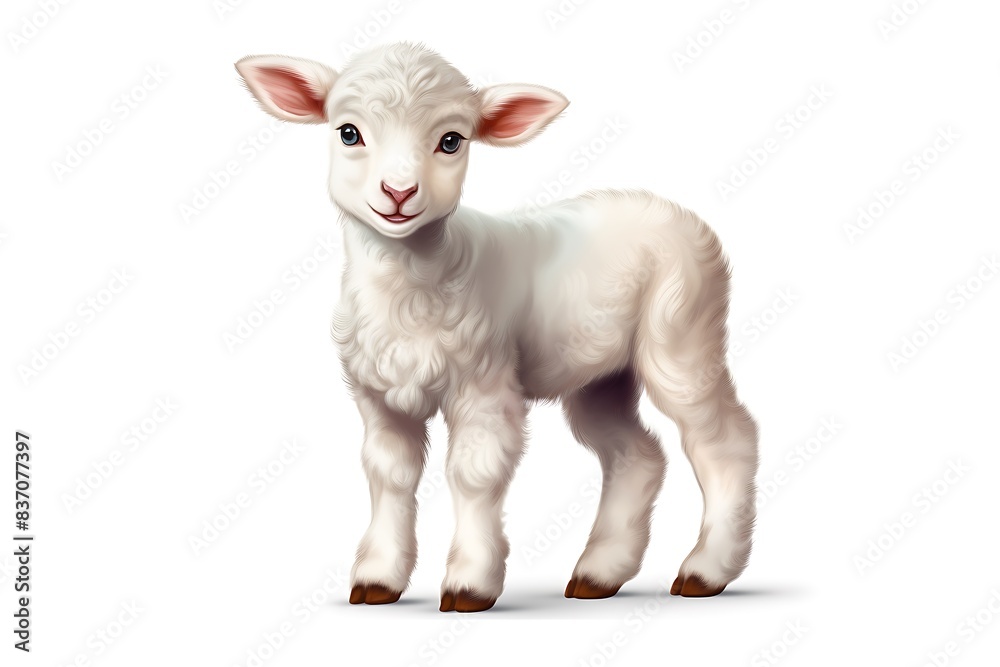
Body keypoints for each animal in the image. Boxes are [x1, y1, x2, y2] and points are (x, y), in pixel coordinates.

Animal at [236, 42, 759, 613]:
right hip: (600, 373)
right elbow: (389, 475)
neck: (415, 283)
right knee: (634, 455)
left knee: (723, 440)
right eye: (348, 132)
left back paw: (706, 570)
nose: (398, 192)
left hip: (684, 331)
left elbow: (473, 474)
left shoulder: (485, 382)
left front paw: (469, 584)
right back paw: (599, 574)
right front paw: (377, 579)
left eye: (451, 141)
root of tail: (670, 207)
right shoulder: (377, 394)